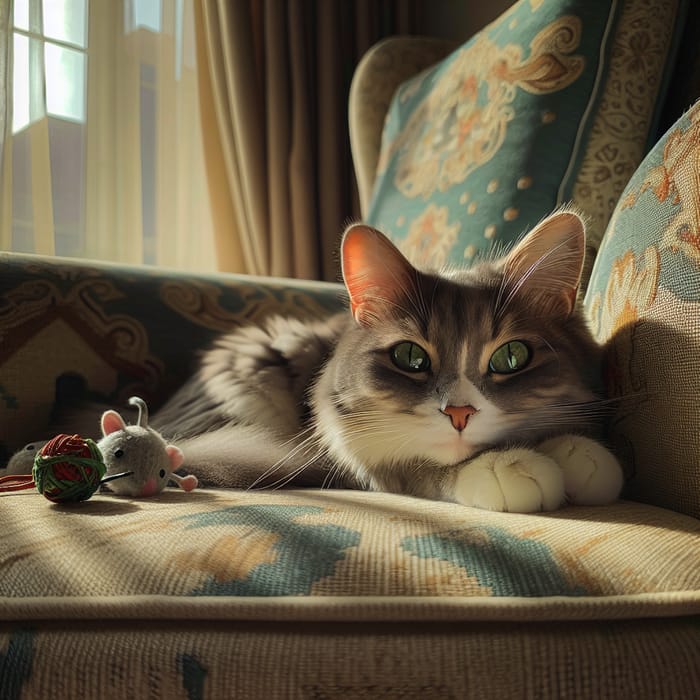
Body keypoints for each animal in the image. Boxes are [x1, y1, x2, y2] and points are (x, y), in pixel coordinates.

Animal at [153, 209, 624, 516]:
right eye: (410, 357)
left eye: (511, 356)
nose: (460, 413)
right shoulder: (351, 455)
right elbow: (420, 468)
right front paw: (509, 466)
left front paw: (578, 454)